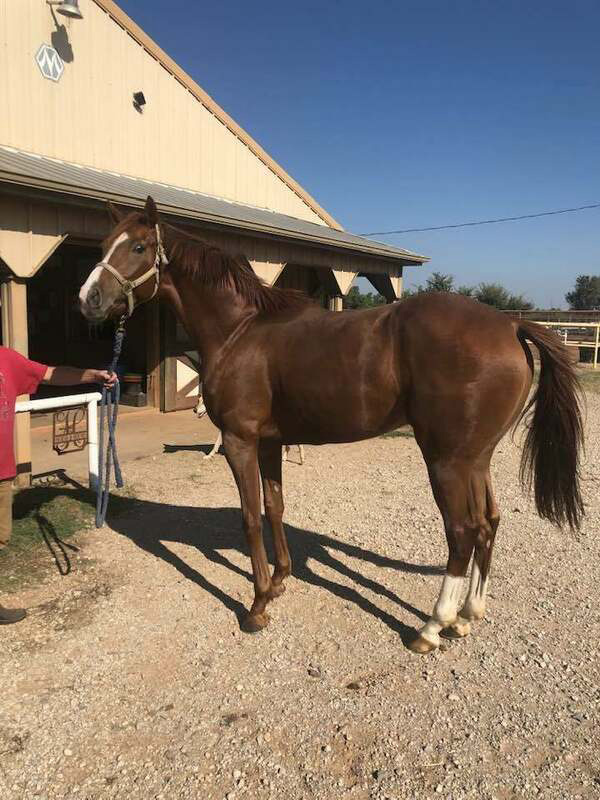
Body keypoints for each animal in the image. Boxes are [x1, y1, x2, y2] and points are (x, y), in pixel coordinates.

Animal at [78, 195, 580, 656]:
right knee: (489, 522)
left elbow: (249, 517)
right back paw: (468, 614)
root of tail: (510, 325)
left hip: (446, 460)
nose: (89, 299)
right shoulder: (269, 444)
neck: (241, 330)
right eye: (104, 245)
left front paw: (257, 606)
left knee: (462, 531)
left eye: (139, 247)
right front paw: (280, 580)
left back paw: (433, 626)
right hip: (477, 458)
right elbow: (274, 508)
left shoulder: (240, 442)